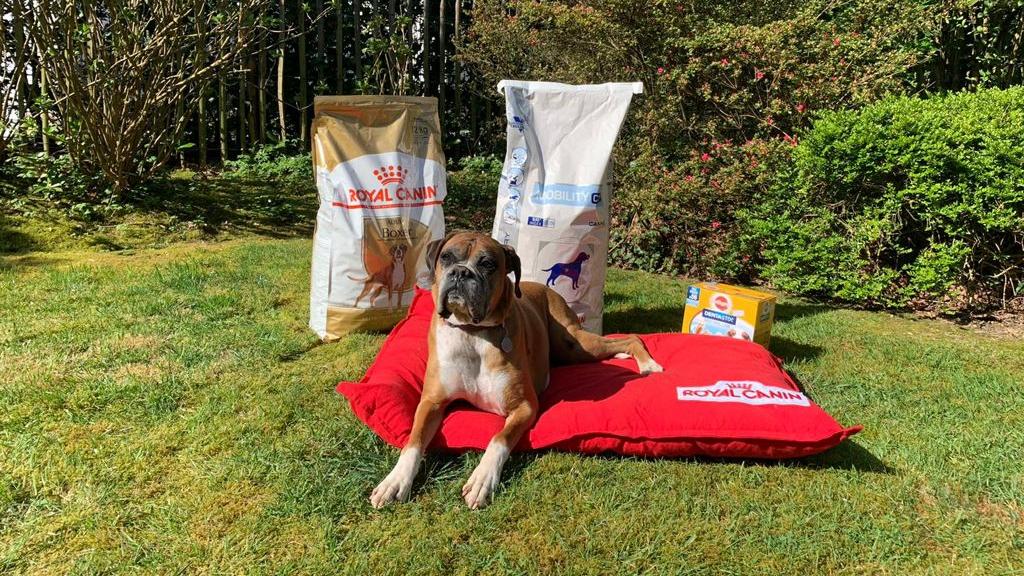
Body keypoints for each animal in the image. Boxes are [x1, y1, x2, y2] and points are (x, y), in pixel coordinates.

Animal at [368, 228, 663, 506]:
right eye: (447, 257)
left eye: (488, 264)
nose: (460, 272)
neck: (472, 332)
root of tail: (545, 287)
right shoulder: (431, 402)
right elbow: (414, 440)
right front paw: (395, 480)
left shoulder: (524, 406)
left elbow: (498, 439)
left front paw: (482, 479)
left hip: (575, 344)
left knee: (631, 338)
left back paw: (648, 364)